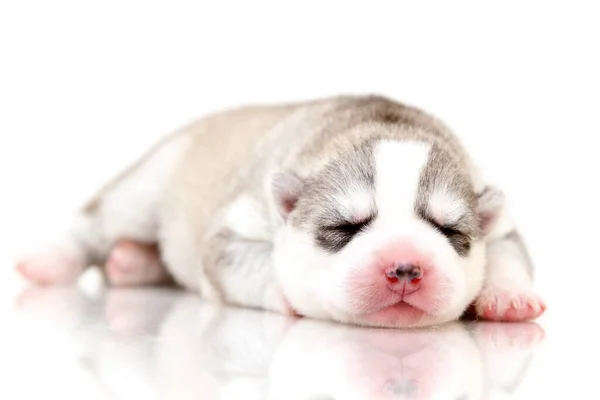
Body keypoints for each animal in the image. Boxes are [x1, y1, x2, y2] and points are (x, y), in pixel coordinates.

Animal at [16, 94, 548, 328]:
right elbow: (243, 260)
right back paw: (53, 260)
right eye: (344, 227)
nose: (405, 268)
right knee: (97, 223)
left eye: (448, 230)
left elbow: (508, 251)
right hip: (150, 184)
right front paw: (289, 292)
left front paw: (508, 297)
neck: (377, 124)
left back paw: (130, 263)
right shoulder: (238, 222)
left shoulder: (496, 213)